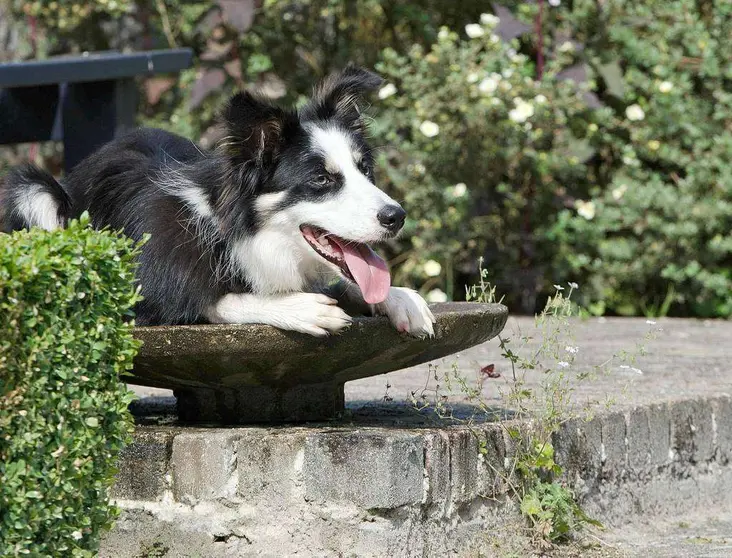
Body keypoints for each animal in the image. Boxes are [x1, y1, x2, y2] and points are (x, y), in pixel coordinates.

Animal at [0, 65, 434, 336]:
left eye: (365, 169)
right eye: (321, 179)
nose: (396, 216)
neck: (234, 233)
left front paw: (402, 299)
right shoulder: (139, 291)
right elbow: (214, 300)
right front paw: (302, 308)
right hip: (31, 189)